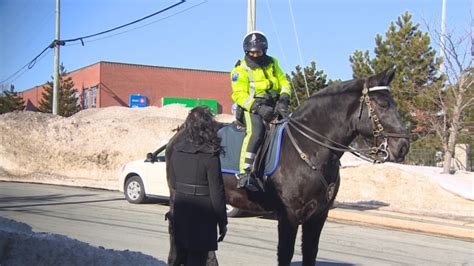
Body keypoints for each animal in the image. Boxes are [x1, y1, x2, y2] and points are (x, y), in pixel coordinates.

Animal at [166, 69, 408, 266]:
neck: (309, 148)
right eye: (383, 104)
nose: (404, 145)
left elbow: (310, 252)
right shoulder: (289, 215)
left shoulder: (318, 216)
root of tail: (181, 134)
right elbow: (286, 253)